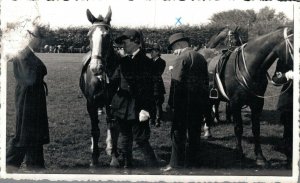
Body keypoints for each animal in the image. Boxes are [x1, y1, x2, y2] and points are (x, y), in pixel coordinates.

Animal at [80, 7, 121, 167]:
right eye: (88, 35)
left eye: (108, 36)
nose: (96, 67)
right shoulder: (91, 103)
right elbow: (95, 129)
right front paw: (94, 157)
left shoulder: (113, 102)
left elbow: (113, 126)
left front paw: (114, 156)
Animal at [218, 27, 292, 166]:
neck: (248, 66)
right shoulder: (235, 103)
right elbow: (238, 128)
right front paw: (239, 153)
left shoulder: (257, 103)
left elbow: (256, 129)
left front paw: (260, 157)